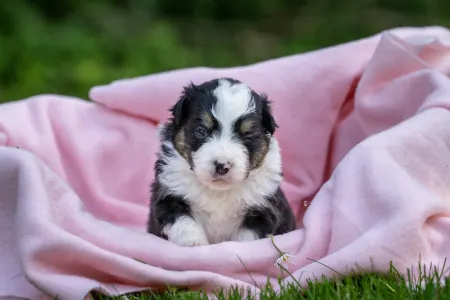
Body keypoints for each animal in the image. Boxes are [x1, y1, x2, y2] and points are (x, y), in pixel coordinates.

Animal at [146, 77, 298, 246]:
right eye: (201, 131)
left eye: (248, 135)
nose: (222, 165)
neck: (218, 192)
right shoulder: (169, 195)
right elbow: (183, 222)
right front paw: (194, 243)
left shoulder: (264, 209)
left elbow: (246, 240)